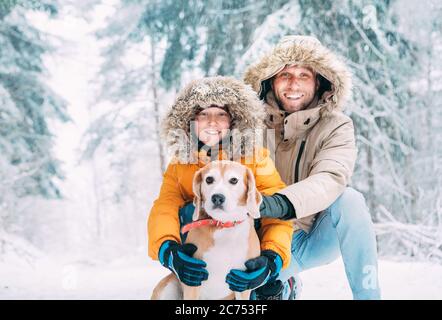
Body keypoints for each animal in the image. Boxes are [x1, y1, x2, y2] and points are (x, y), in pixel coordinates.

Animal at [152, 160, 262, 300]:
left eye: (233, 180)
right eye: (209, 179)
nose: (217, 197)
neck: (223, 225)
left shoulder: (242, 285)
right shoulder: (192, 280)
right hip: (168, 287)